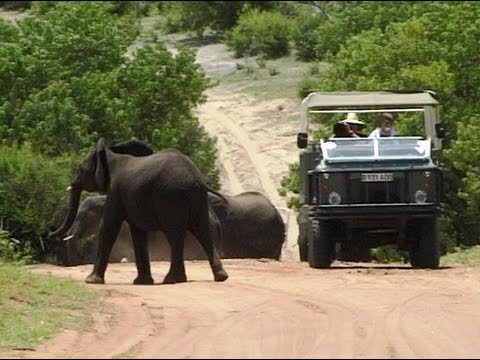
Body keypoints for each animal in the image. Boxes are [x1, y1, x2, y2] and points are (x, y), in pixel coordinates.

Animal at [48, 137, 229, 284]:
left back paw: (172, 279)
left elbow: (109, 226)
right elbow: (137, 230)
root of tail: (197, 179)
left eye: (80, 169)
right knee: (203, 231)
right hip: (197, 199)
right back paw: (220, 277)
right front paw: (142, 282)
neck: (109, 155)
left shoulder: (115, 191)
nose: (49, 233)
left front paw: (91, 281)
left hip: (171, 197)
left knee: (175, 234)